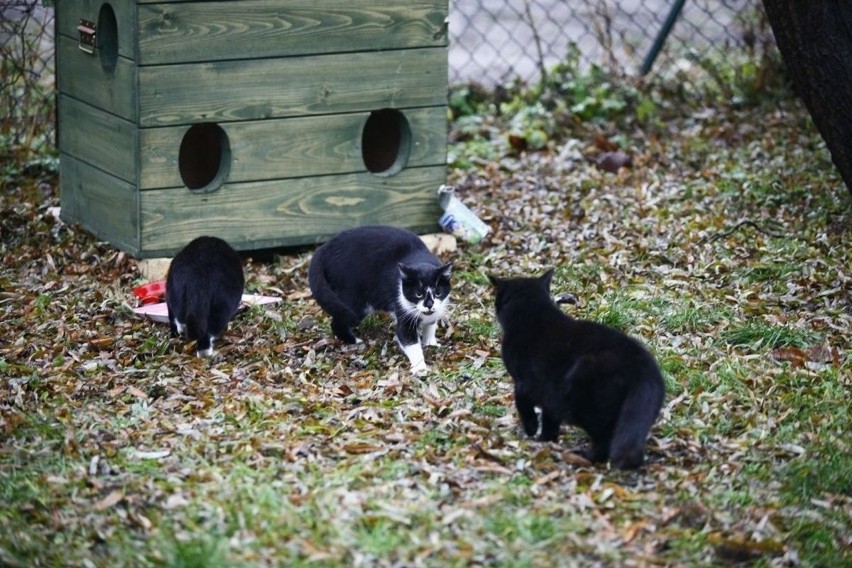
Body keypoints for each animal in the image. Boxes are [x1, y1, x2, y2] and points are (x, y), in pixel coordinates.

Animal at [308, 224, 452, 374]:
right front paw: (420, 367)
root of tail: (323, 248)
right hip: (353, 298)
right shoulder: (403, 312)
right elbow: (409, 340)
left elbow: (431, 324)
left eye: (438, 293)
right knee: (338, 320)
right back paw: (354, 340)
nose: (429, 305)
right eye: (418, 294)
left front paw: (430, 343)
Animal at [490, 270, 664, 470]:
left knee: (604, 439)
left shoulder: (524, 384)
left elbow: (525, 407)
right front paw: (546, 440)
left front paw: (532, 432)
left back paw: (583, 456)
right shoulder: (551, 393)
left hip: (582, 401)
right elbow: (550, 419)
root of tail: (640, 363)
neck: (532, 314)